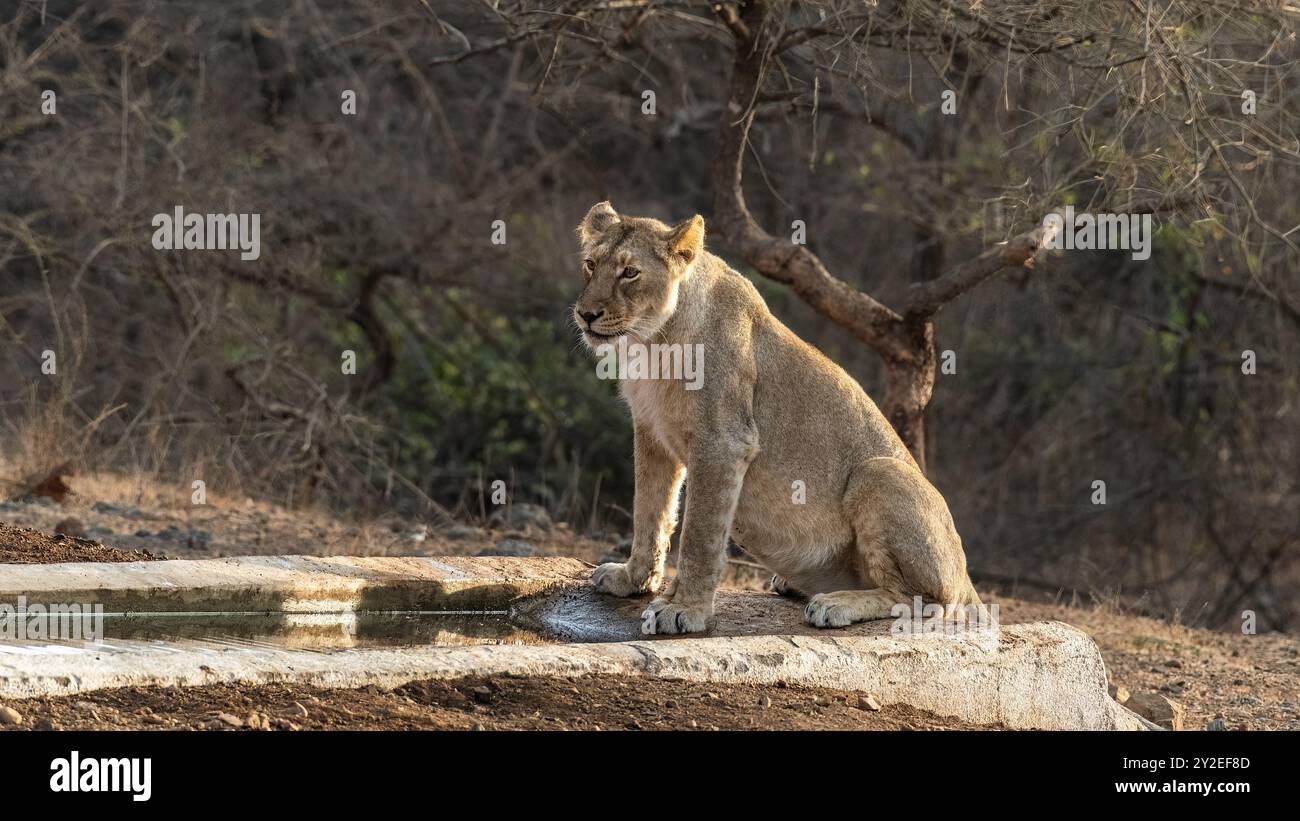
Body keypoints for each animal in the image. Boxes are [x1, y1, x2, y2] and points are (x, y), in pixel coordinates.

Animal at [569, 200, 977, 633]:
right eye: (591, 264)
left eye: (629, 272)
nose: (586, 314)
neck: (652, 344)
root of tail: (968, 581)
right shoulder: (650, 433)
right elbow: (650, 512)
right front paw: (632, 579)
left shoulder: (723, 441)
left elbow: (699, 534)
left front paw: (686, 610)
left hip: (879, 472)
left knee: (921, 599)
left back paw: (834, 604)